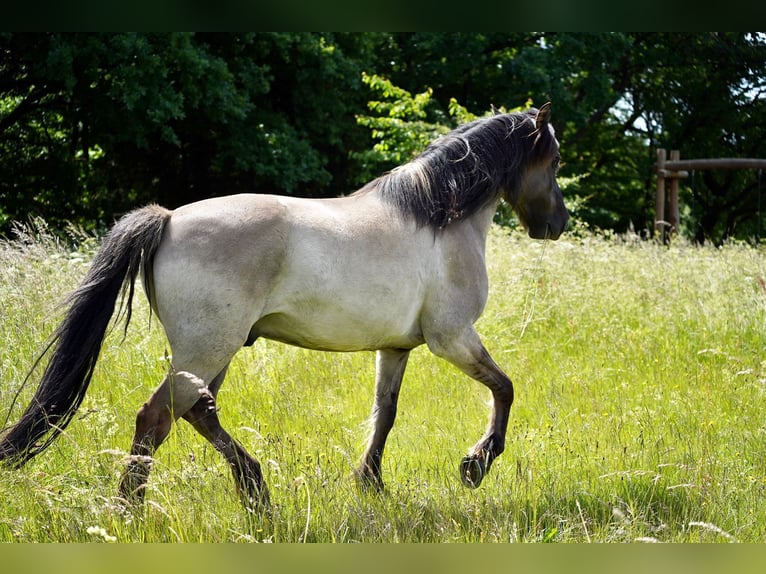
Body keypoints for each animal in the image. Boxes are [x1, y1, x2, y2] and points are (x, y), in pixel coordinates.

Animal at [0, 102, 564, 508]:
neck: (439, 219)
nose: (555, 225)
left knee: (198, 413)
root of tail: (169, 218)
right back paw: (131, 510)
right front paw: (475, 466)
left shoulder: (396, 348)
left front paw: (371, 483)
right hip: (206, 350)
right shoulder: (453, 338)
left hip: (215, 353)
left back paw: (255, 491)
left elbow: (385, 413)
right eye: (554, 161)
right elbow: (505, 389)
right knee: (156, 417)